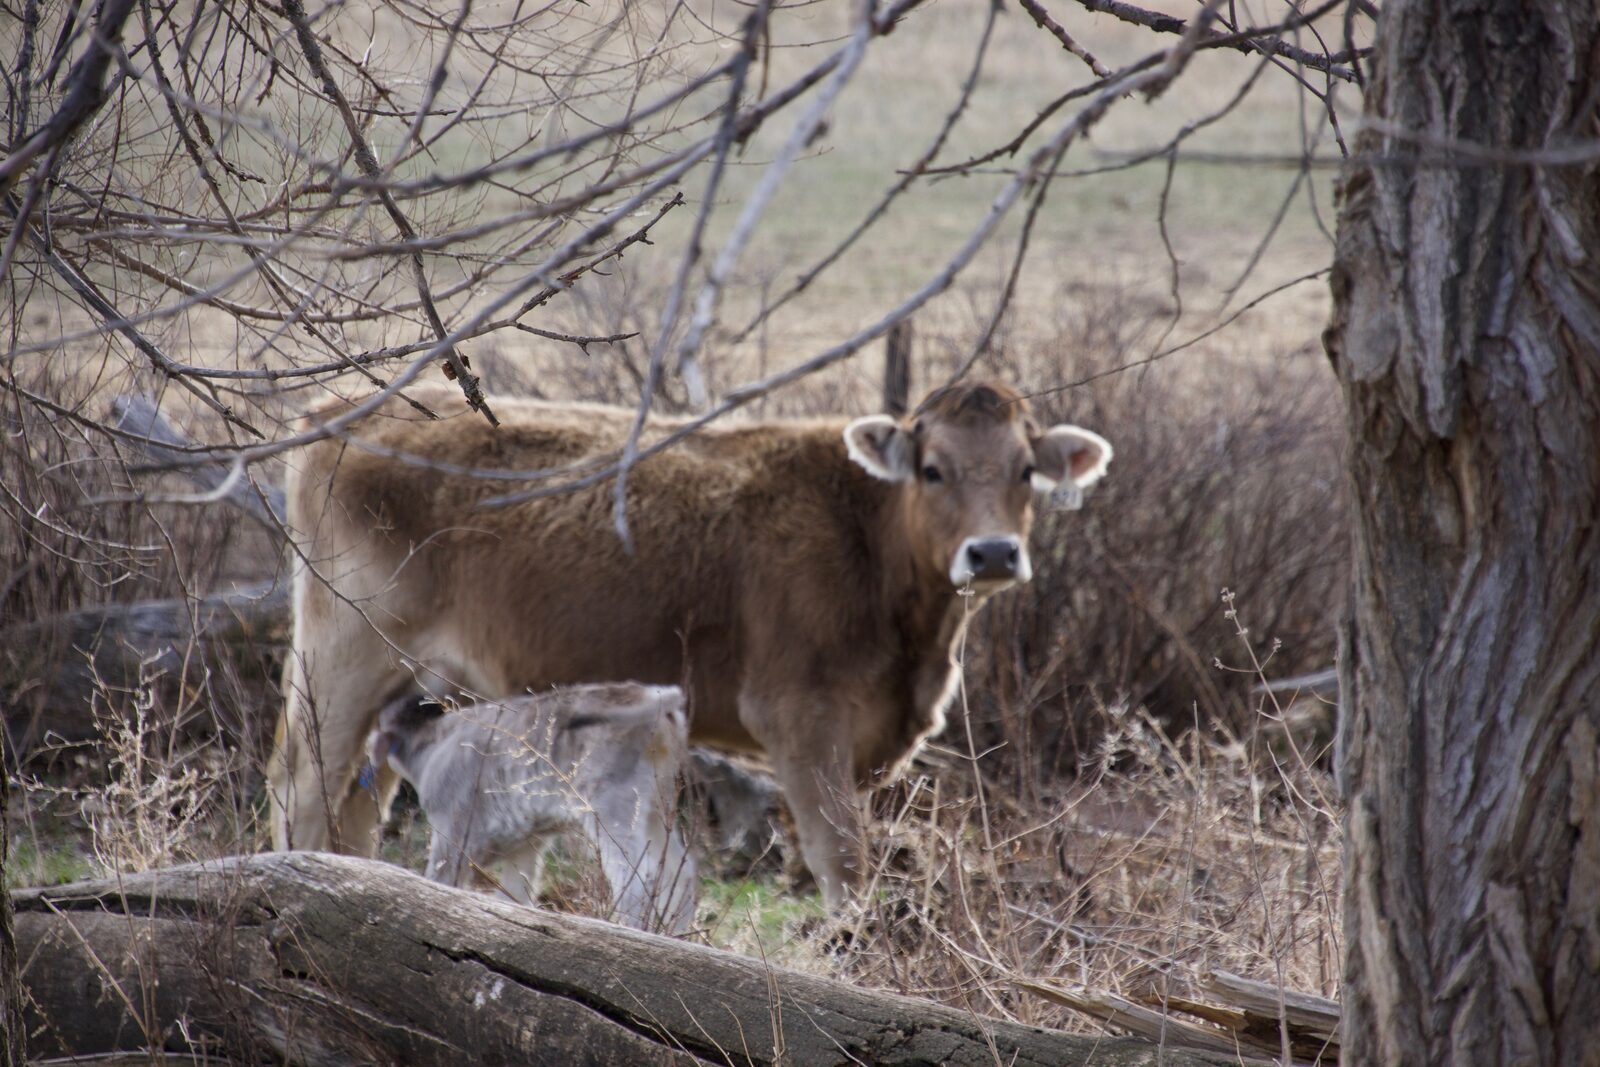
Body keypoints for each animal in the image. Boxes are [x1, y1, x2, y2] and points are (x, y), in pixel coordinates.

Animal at [267, 379, 1112, 907]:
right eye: (933, 469)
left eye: (1027, 470)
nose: (993, 552)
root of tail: (348, 408)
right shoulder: (800, 717)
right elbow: (841, 859)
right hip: (342, 658)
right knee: (306, 787)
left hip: (410, 683)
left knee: (361, 802)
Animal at [369, 682, 696, 932]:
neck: (433, 744)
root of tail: (643, 693)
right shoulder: (525, 845)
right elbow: (517, 896)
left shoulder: (452, 836)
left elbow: (440, 884)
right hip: (657, 806)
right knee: (680, 873)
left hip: (614, 805)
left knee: (639, 876)